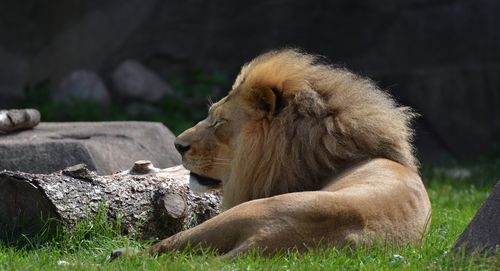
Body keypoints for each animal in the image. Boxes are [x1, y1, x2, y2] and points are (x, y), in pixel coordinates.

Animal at [123, 50, 432, 260]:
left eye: (219, 122)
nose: (177, 145)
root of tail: (272, 239)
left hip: (241, 213)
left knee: (166, 247)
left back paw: (122, 254)